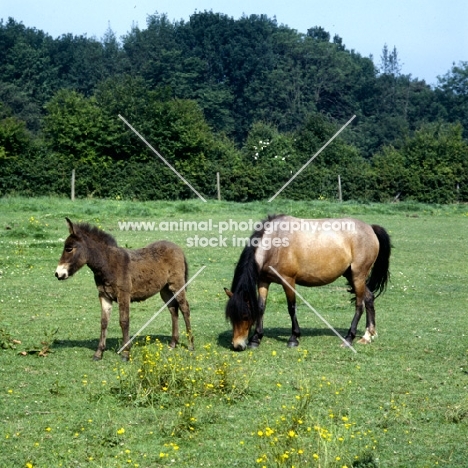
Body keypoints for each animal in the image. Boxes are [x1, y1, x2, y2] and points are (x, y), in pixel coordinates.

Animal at [55, 218, 193, 360]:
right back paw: (173, 343)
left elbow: (124, 321)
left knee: (184, 308)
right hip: (165, 290)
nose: (58, 274)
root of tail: (177, 247)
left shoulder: (124, 295)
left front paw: (126, 353)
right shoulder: (104, 296)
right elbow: (104, 322)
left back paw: (190, 345)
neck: (108, 265)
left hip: (177, 285)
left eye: (69, 248)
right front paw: (99, 353)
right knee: (173, 309)